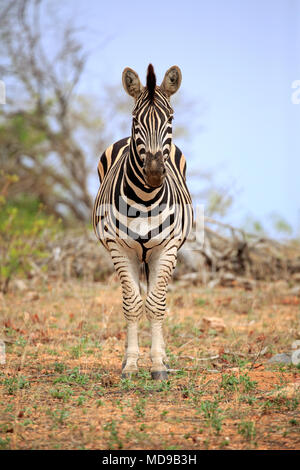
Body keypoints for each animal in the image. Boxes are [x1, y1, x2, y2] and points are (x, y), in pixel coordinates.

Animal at [92, 64, 193, 380]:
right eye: (135, 120)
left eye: (170, 118)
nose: (154, 172)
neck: (146, 199)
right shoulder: (119, 247)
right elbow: (132, 304)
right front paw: (132, 364)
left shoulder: (167, 247)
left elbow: (157, 304)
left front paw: (159, 364)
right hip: (136, 255)